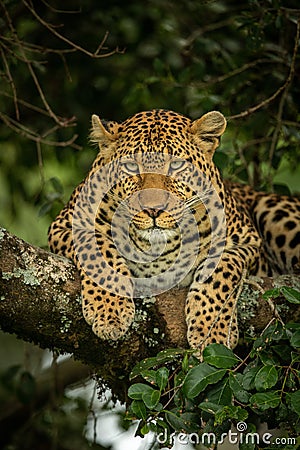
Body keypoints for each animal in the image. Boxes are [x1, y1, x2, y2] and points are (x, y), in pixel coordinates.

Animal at [47, 109, 300, 352]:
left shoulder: (248, 241)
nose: (153, 209)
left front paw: (211, 333)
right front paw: (111, 312)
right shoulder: (64, 225)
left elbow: (221, 273)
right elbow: (99, 251)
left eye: (176, 165)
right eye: (131, 166)